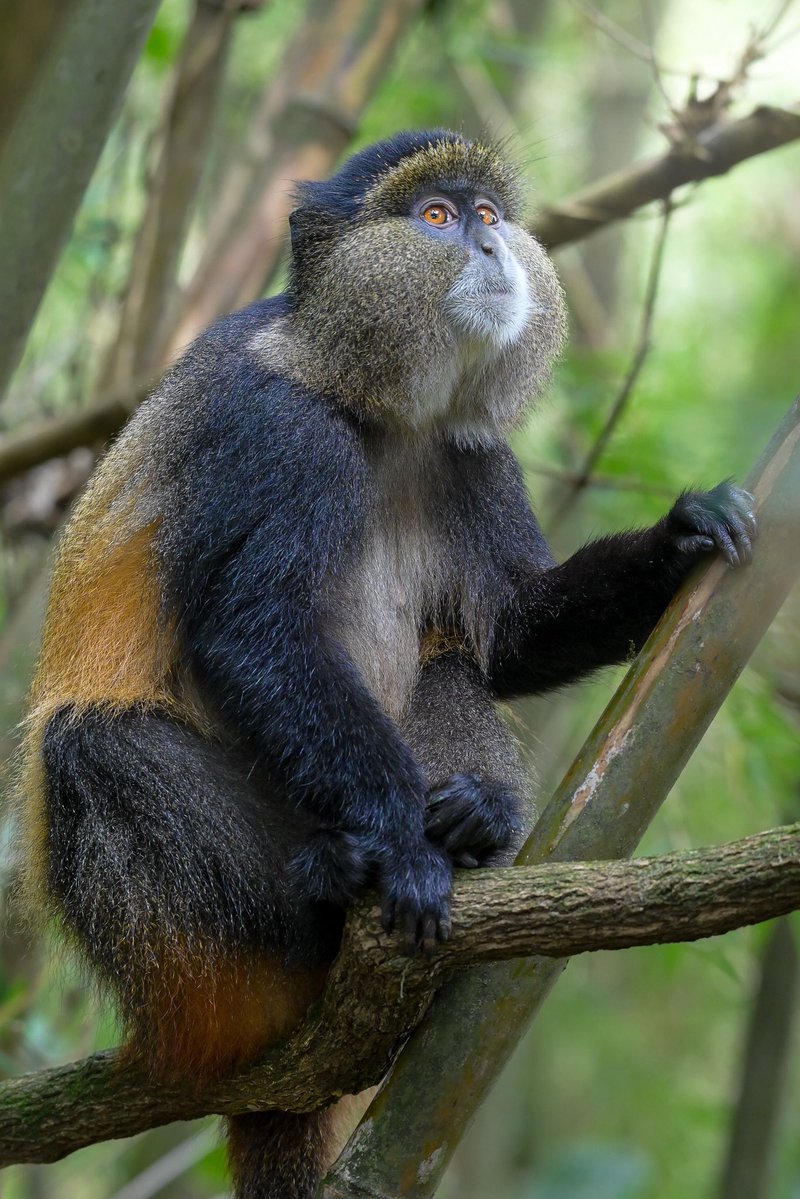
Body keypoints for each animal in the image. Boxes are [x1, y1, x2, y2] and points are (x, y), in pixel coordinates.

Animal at [17, 130, 756, 1199]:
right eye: (434, 219)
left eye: (488, 215)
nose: (488, 248)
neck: (381, 404)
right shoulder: (272, 429)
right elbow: (257, 632)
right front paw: (403, 849)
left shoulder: (475, 452)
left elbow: (508, 635)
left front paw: (684, 535)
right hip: (189, 964)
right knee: (92, 746)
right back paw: (329, 893)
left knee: (447, 669)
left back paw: (473, 825)